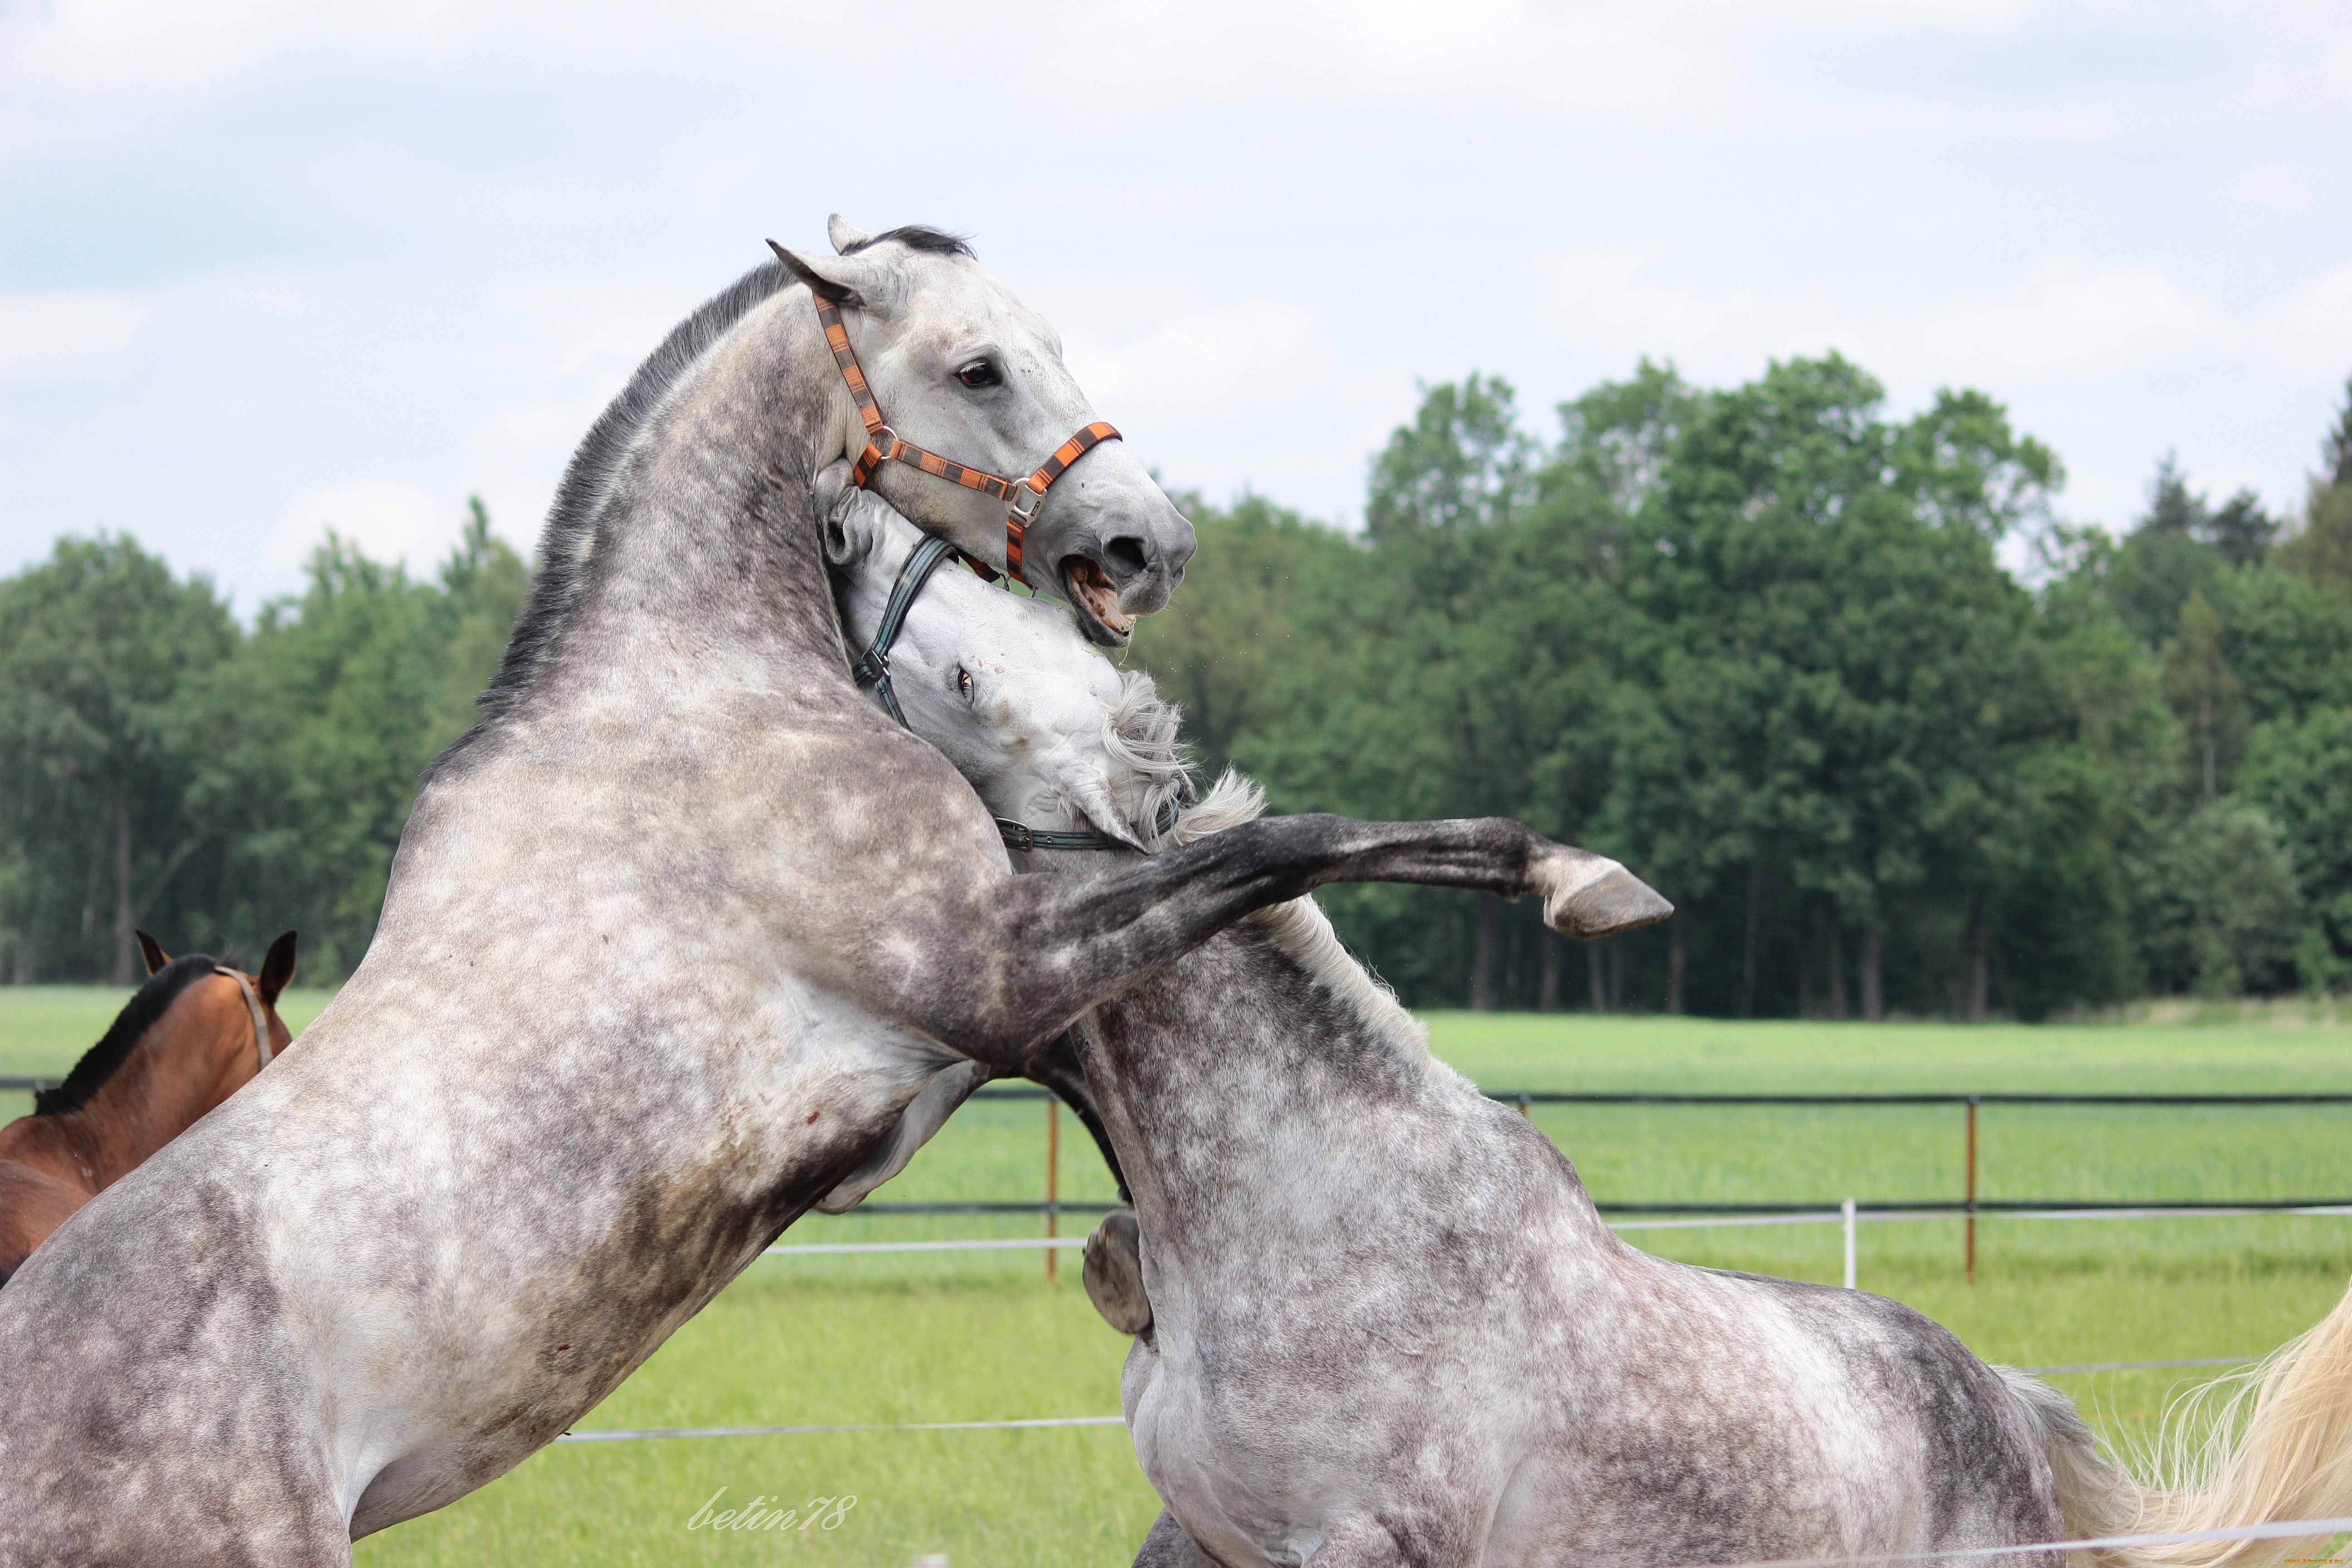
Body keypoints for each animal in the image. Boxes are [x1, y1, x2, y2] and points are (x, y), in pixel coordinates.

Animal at [823, 486, 2352, 1568]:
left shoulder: (1368, 1542)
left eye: (966, 685)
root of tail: (2012, 1409)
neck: (1302, 1211)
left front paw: (1583, 883)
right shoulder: (1202, 1537)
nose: (841, 522)